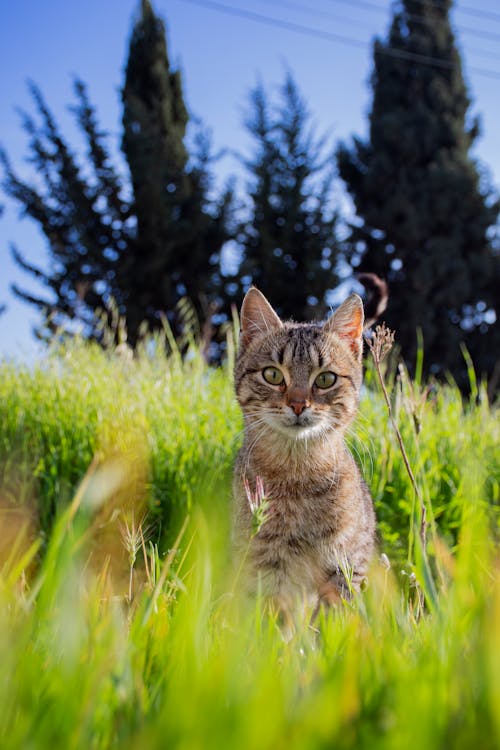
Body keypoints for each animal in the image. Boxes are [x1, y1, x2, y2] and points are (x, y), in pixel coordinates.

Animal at [232, 288, 376, 624]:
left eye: (325, 379)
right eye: (272, 374)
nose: (298, 404)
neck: (298, 474)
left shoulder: (348, 563)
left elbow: (333, 621)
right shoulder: (265, 566)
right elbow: (274, 623)